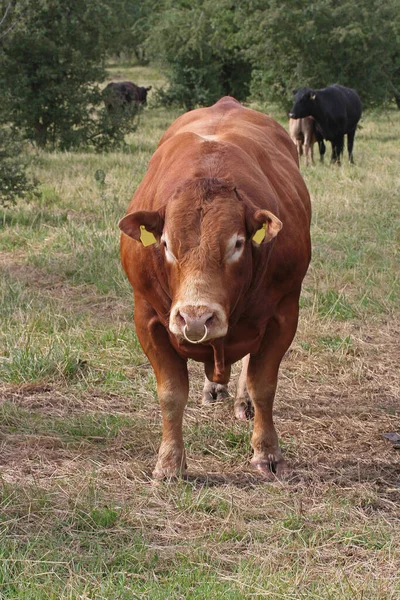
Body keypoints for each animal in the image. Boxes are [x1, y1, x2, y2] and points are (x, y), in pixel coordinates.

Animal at [117, 96, 310, 480]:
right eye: (165, 243)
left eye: (237, 243)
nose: (195, 318)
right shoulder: (146, 317)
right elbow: (171, 393)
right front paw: (169, 463)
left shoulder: (283, 313)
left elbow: (263, 385)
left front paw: (267, 453)